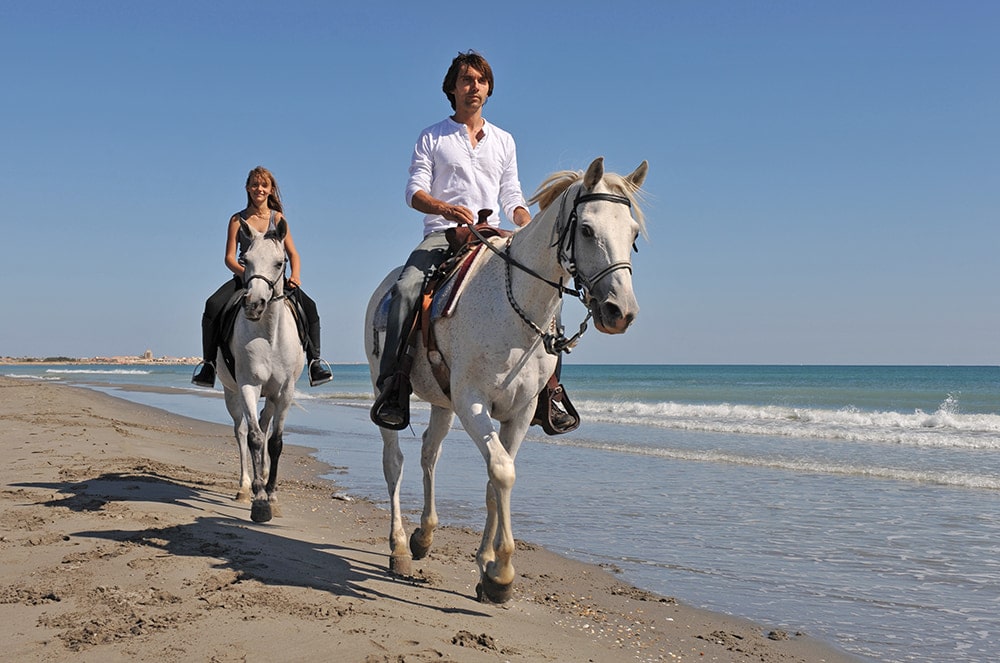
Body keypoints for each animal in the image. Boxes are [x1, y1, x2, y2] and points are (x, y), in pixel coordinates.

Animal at [214, 219, 300, 524]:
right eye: (245, 260)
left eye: (280, 262)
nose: (253, 304)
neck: (269, 335)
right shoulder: (247, 386)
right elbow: (253, 438)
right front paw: (260, 500)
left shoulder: (284, 392)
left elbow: (274, 442)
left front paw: (271, 494)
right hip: (231, 393)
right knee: (241, 432)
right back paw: (245, 487)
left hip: (272, 396)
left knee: (264, 424)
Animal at [368, 157, 648, 600]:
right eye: (587, 229)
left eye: (633, 233)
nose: (620, 312)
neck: (512, 306)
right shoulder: (473, 402)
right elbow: (502, 472)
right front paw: (501, 575)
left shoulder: (520, 411)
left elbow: (494, 480)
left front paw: (486, 564)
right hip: (388, 392)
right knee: (393, 462)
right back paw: (397, 547)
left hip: (443, 403)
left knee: (429, 453)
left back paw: (423, 536)